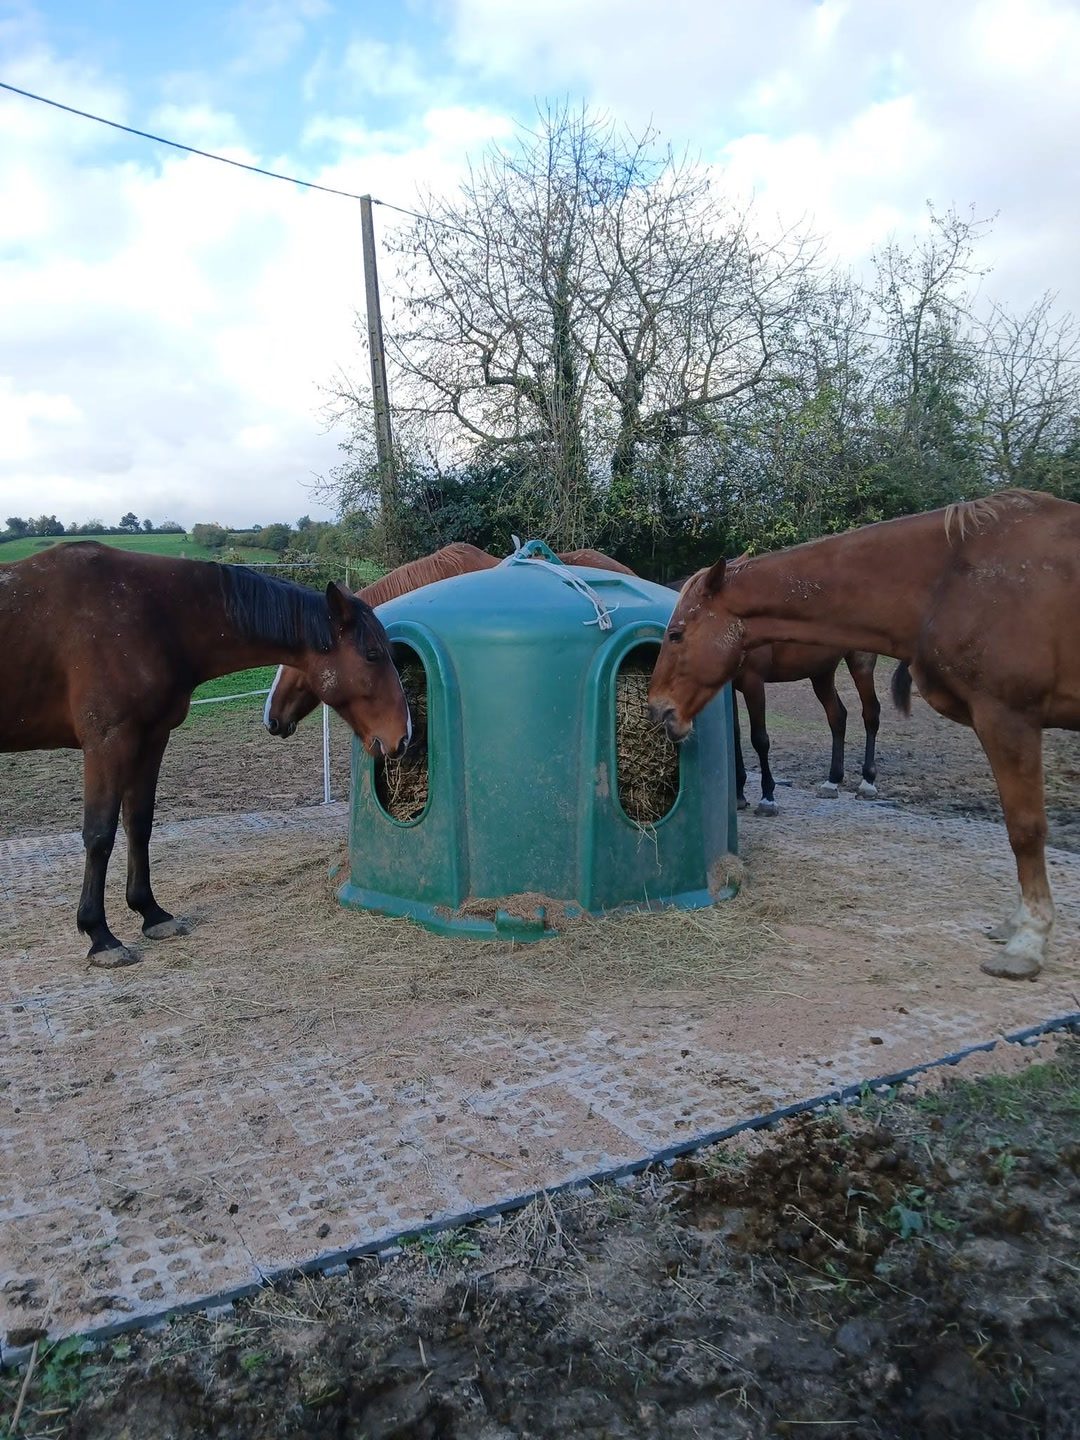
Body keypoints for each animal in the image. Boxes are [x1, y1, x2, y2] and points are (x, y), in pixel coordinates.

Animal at [0, 542, 410, 967]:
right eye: (372, 654)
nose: (403, 735)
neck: (146, 613)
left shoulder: (151, 738)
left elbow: (139, 826)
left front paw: (151, 913)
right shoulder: (107, 744)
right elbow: (99, 835)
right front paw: (100, 935)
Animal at [648, 489, 1080, 981]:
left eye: (676, 633)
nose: (658, 709)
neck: (948, 578)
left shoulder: (1008, 716)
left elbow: (1024, 827)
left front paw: (1026, 941)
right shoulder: (734, 686)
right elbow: (741, 745)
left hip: (858, 663)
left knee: (868, 715)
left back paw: (865, 780)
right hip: (821, 674)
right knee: (838, 717)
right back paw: (833, 779)